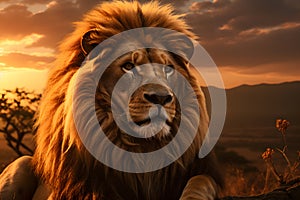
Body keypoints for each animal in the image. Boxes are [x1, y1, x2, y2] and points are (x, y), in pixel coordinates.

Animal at [0, 0, 221, 199]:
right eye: (129, 66)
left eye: (168, 68)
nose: (161, 97)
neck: (143, 150)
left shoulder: (200, 174)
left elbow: (200, 182)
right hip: (22, 162)